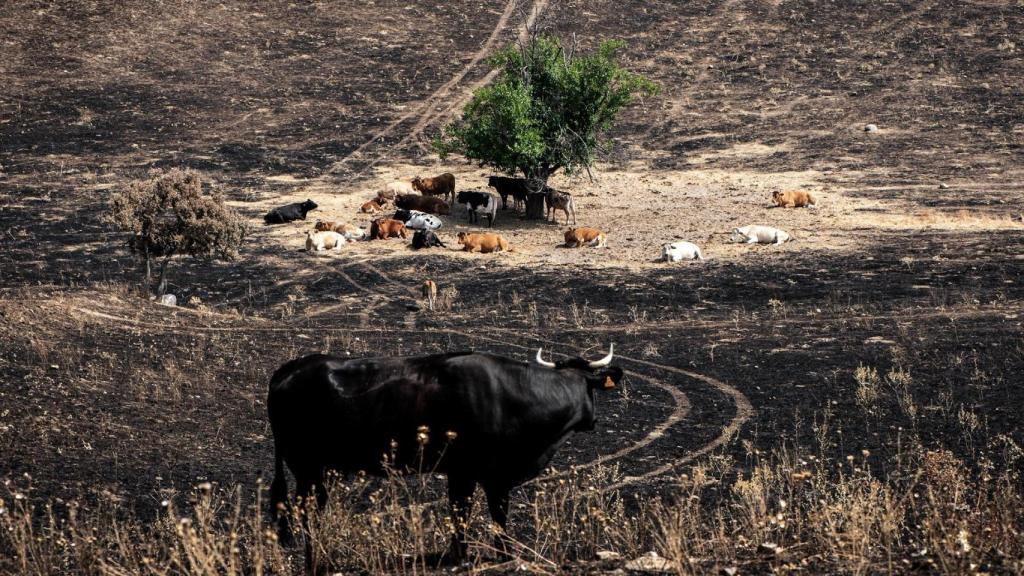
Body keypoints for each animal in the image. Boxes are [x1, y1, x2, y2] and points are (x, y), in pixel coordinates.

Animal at [267, 345, 623, 570]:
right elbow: (488, 515)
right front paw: (496, 556)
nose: (593, 421)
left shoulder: (469, 474)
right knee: (305, 513)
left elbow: (466, 514)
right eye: (592, 390)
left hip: (317, 471)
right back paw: (316, 560)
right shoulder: (483, 474)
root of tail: (289, 369)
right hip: (306, 468)